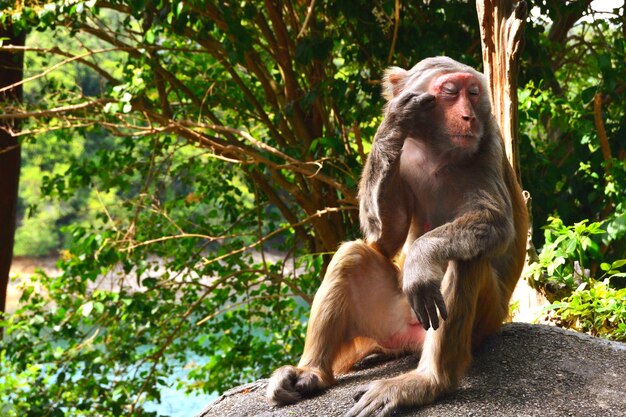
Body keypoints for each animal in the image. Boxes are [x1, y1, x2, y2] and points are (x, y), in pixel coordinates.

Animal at [264, 56, 528, 416]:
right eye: (450, 91)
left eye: (473, 93)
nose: (469, 116)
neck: (437, 151)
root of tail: (409, 338)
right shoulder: (404, 156)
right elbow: (384, 239)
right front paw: (394, 123)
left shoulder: (488, 144)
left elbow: (498, 224)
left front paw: (420, 259)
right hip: (391, 318)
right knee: (353, 256)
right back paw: (312, 372)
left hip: (481, 322)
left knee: (465, 259)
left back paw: (428, 381)